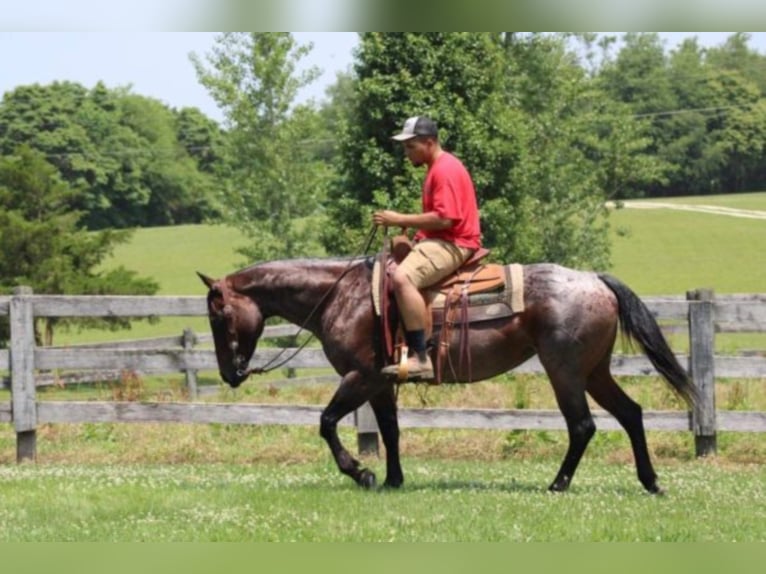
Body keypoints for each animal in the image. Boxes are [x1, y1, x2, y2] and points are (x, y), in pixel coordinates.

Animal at [196, 256, 696, 496]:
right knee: (630, 414)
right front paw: (392, 480)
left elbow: (326, 422)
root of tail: (594, 280)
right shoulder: (381, 384)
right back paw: (651, 482)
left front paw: (361, 473)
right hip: (594, 371)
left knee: (583, 426)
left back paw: (558, 485)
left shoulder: (360, 377)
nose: (229, 373)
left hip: (566, 371)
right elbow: (391, 431)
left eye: (219, 317)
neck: (344, 297)